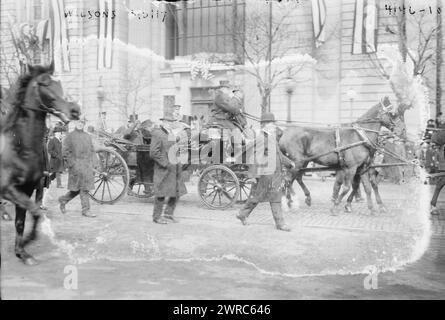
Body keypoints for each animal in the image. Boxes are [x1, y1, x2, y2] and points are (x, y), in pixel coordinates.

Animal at [0, 62, 80, 264]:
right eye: (44, 83)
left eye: (60, 82)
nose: (75, 110)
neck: (19, 148)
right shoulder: (9, 189)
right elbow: (36, 212)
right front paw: (27, 242)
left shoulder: (27, 189)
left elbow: (23, 221)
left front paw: (22, 251)